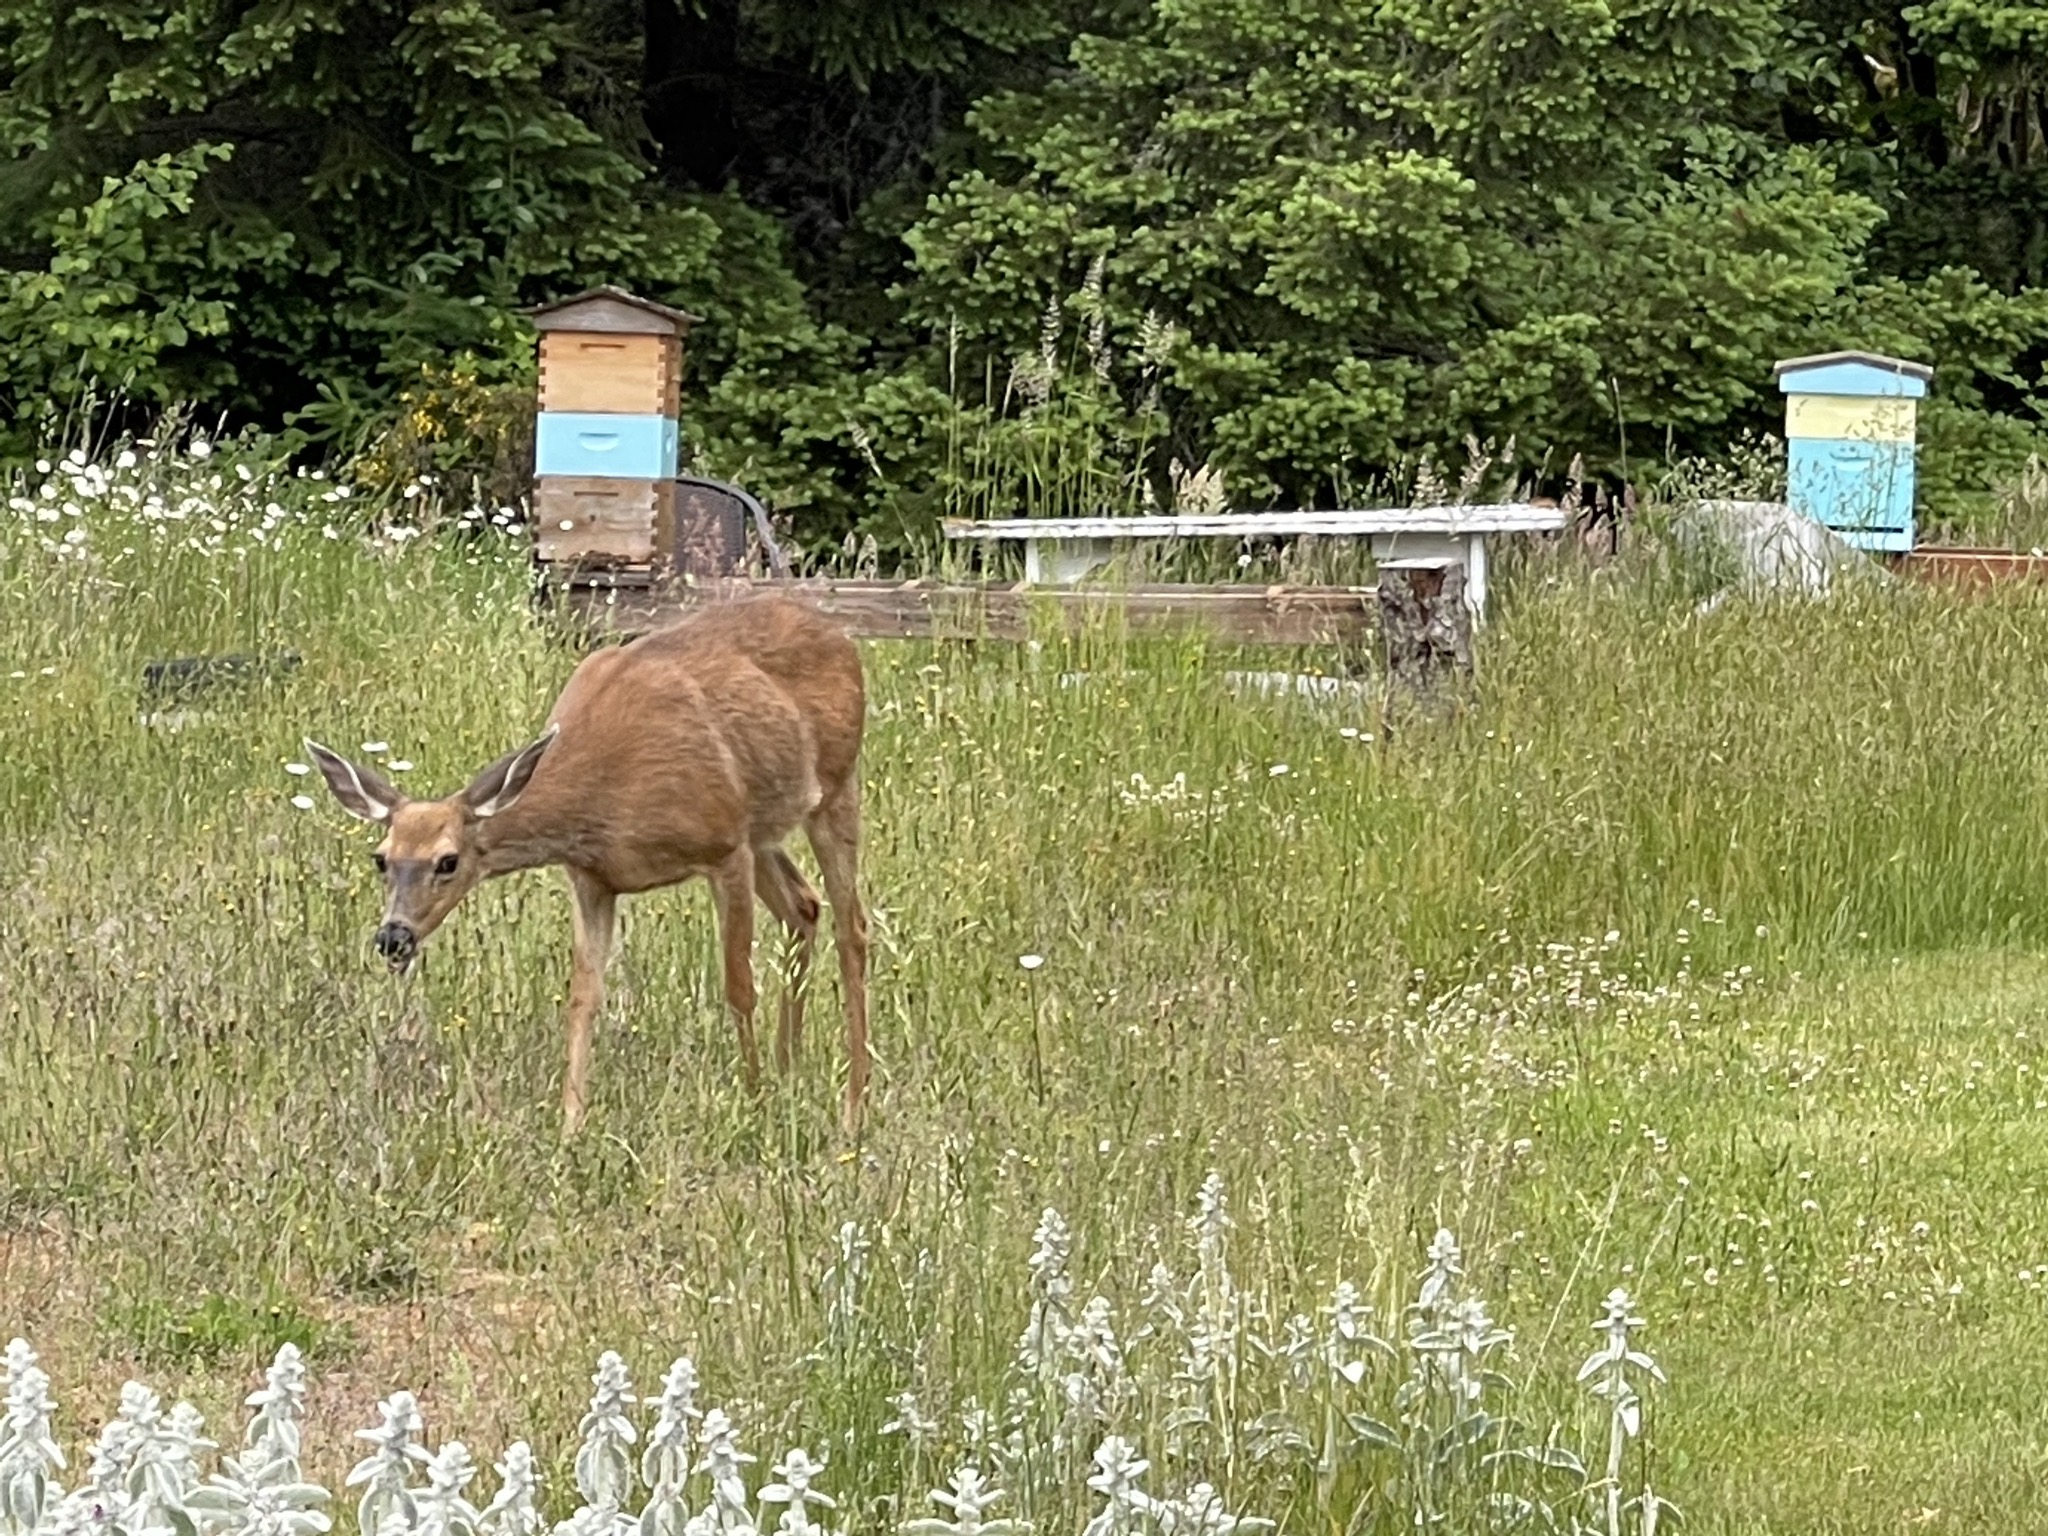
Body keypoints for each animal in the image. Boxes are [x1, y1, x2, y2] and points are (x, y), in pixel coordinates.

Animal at [303, 594, 870, 1137]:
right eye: (381, 859)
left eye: (448, 861)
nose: (393, 937)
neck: (600, 797)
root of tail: (839, 634)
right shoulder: (593, 879)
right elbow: (583, 998)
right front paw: (570, 1127)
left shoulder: (724, 846)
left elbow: (738, 987)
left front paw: (752, 1101)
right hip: (765, 832)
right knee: (804, 906)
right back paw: (788, 1071)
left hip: (832, 788)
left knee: (852, 930)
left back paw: (851, 1105)